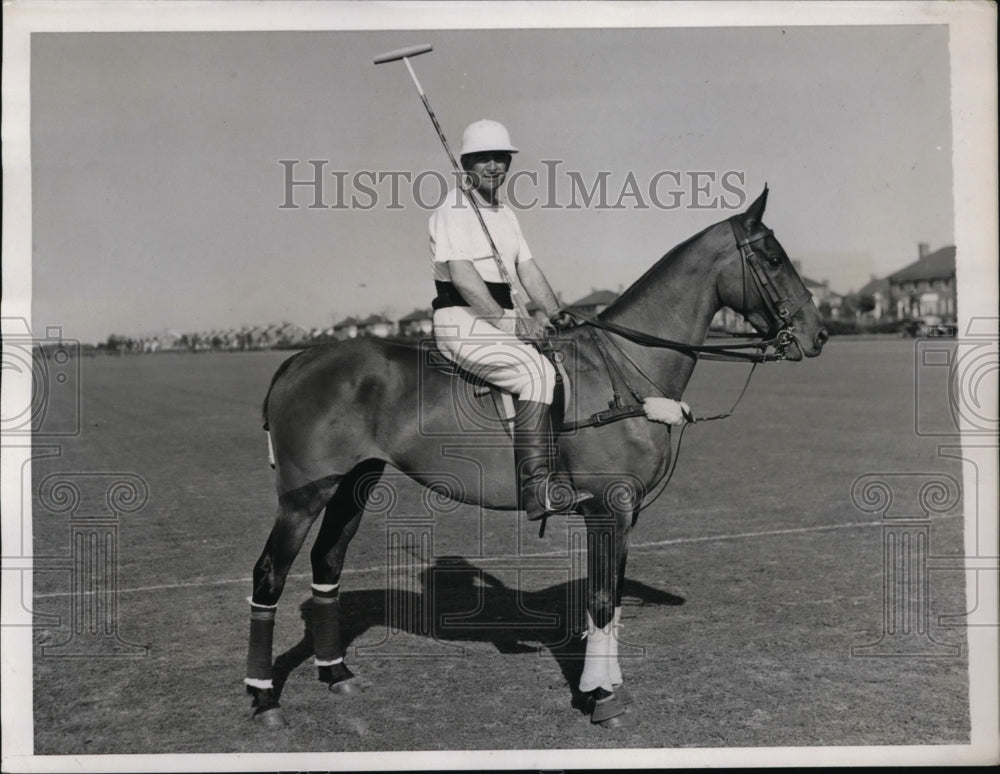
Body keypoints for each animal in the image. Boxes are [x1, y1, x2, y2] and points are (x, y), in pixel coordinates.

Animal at [244, 186, 828, 728]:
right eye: (773, 257)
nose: (818, 335)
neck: (626, 369)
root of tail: (297, 359)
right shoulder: (608, 508)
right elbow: (601, 599)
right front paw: (601, 697)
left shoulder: (623, 513)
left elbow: (612, 598)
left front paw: (606, 684)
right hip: (303, 493)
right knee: (270, 573)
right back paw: (263, 698)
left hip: (354, 482)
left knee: (327, 562)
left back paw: (337, 673)